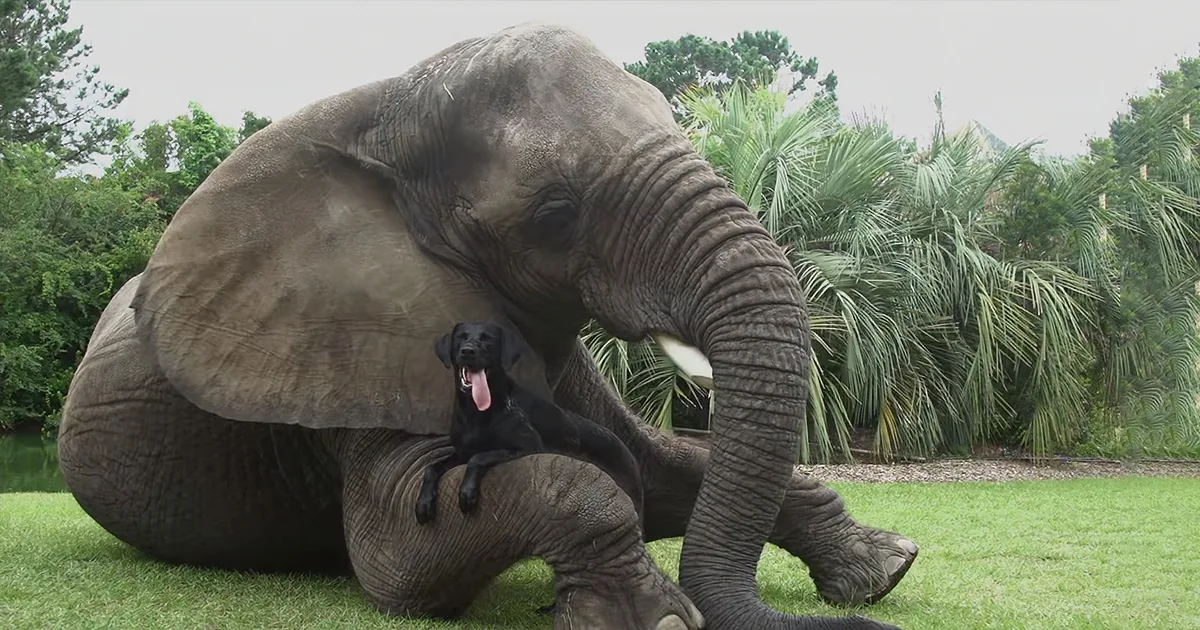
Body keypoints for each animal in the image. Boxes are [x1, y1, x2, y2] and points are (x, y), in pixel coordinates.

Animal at [56, 22, 918, 630]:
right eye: (556, 214)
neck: (387, 108)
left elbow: (657, 464)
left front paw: (885, 570)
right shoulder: (350, 350)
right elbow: (402, 560)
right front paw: (661, 620)